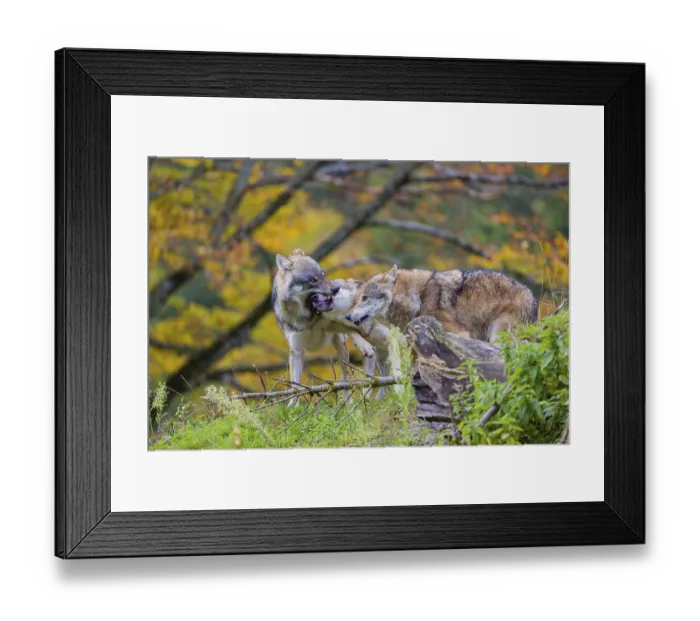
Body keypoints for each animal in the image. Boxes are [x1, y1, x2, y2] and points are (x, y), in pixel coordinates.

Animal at [272, 250, 377, 389]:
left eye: (323, 275)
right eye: (313, 280)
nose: (336, 289)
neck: (305, 318)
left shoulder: (332, 323)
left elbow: (351, 330)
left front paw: (364, 346)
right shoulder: (296, 351)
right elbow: (295, 386)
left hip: (342, 349)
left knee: (346, 377)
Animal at [345, 266, 538, 344]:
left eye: (364, 298)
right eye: (355, 300)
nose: (347, 315)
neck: (417, 298)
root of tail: (533, 298)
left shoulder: (460, 334)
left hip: (498, 335)